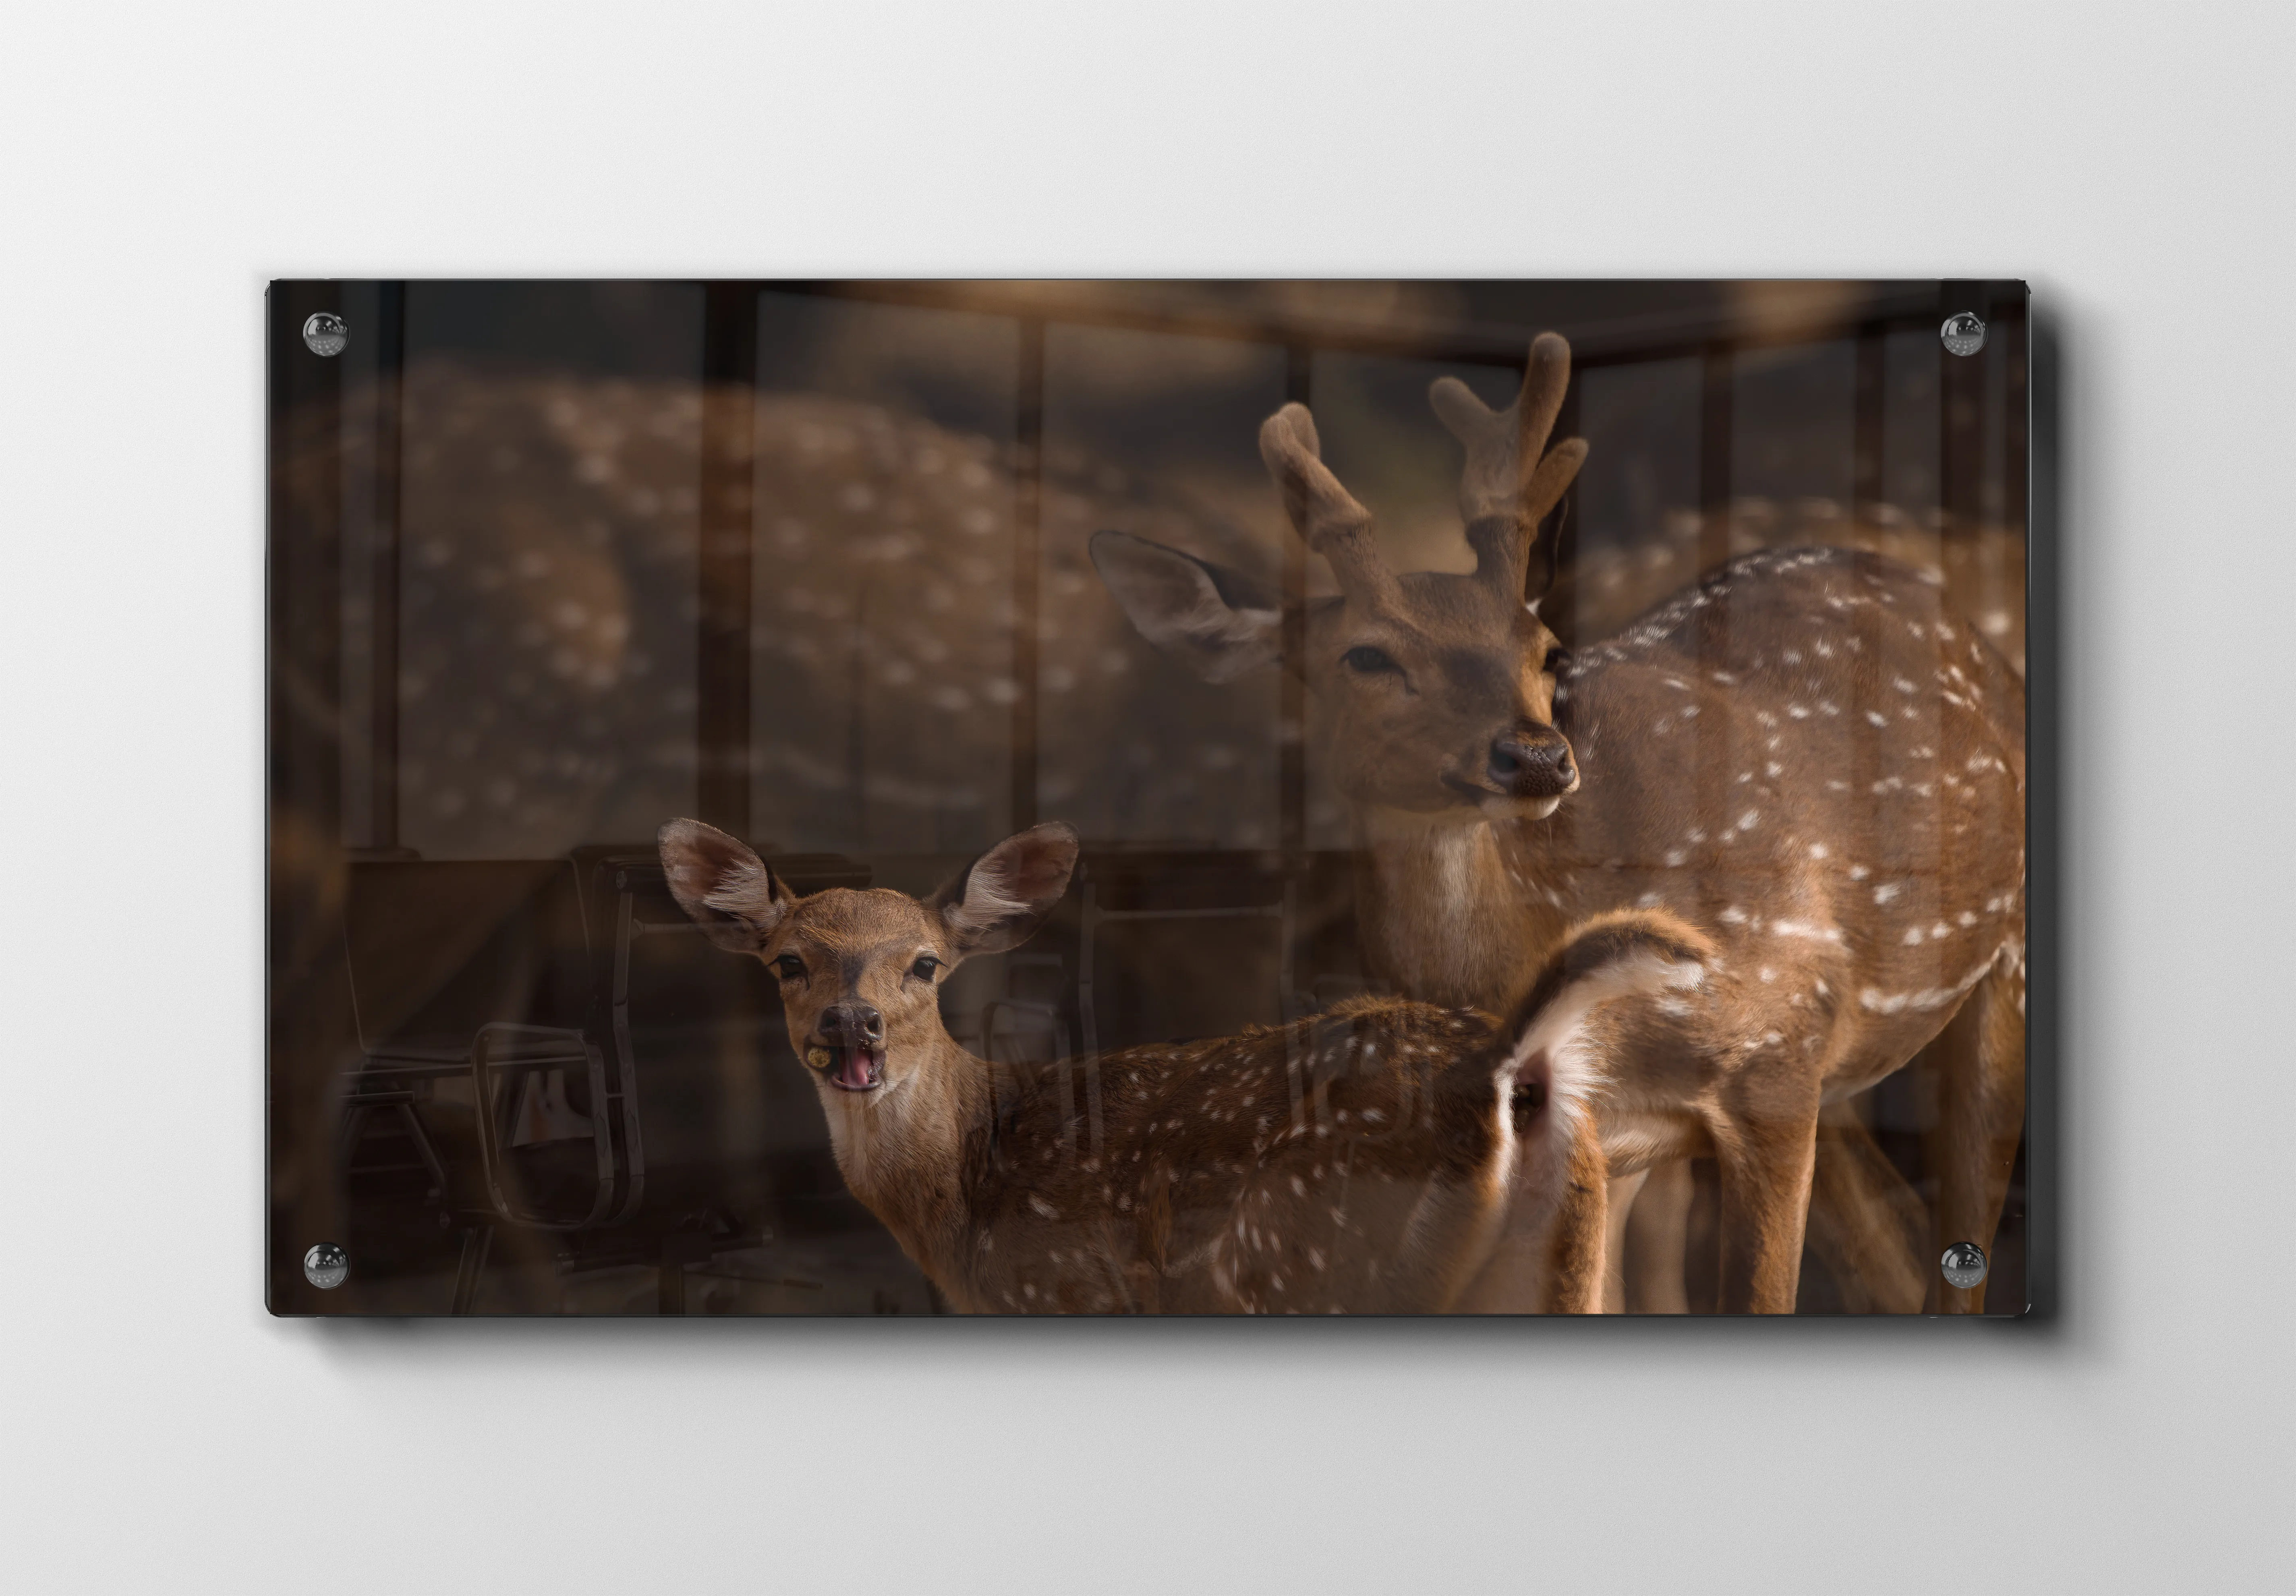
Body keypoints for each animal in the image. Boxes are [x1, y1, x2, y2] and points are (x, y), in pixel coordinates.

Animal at [657, 815, 1711, 1313]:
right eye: (787, 960)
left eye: (924, 962)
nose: (854, 1026)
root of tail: (1500, 1068)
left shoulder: (1063, 1292)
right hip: (1566, 1252)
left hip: (1316, 1266)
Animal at [1090, 333, 2027, 1314]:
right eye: (1367, 655)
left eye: (1545, 649)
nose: (1536, 757)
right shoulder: (1604, 1142)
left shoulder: (1777, 1057)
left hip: (1995, 970)